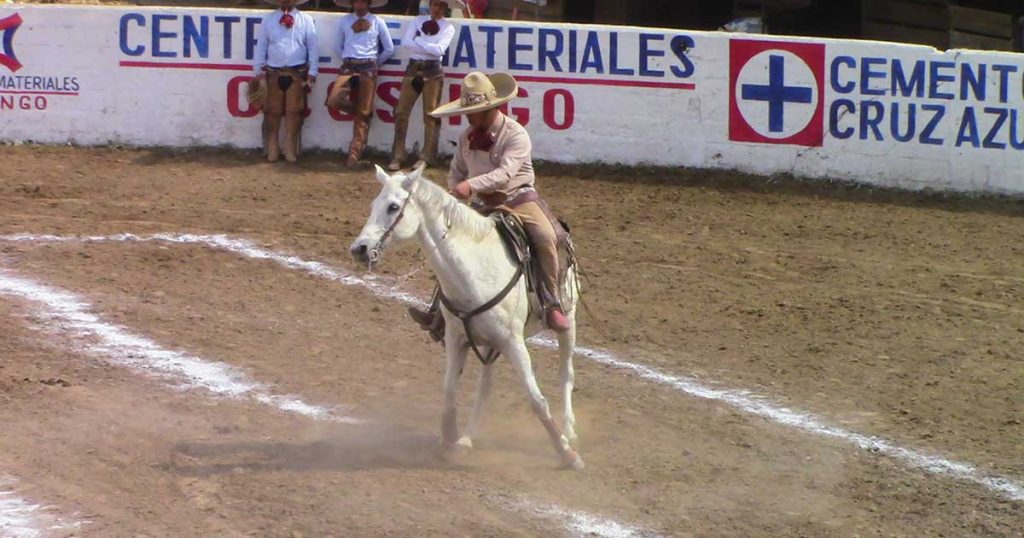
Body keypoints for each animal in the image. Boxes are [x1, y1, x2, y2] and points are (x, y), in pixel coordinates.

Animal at [348, 163, 585, 469]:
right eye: (373, 205)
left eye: (393, 207)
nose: (359, 249)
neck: (476, 268)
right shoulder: (456, 337)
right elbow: (449, 390)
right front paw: (450, 438)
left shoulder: (514, 342)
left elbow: (536, 399)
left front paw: (567, 452)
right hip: (489, 345)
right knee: (485, 387)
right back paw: (468, 437)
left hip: (568, 320)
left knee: (566, 374)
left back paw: (569, 430)